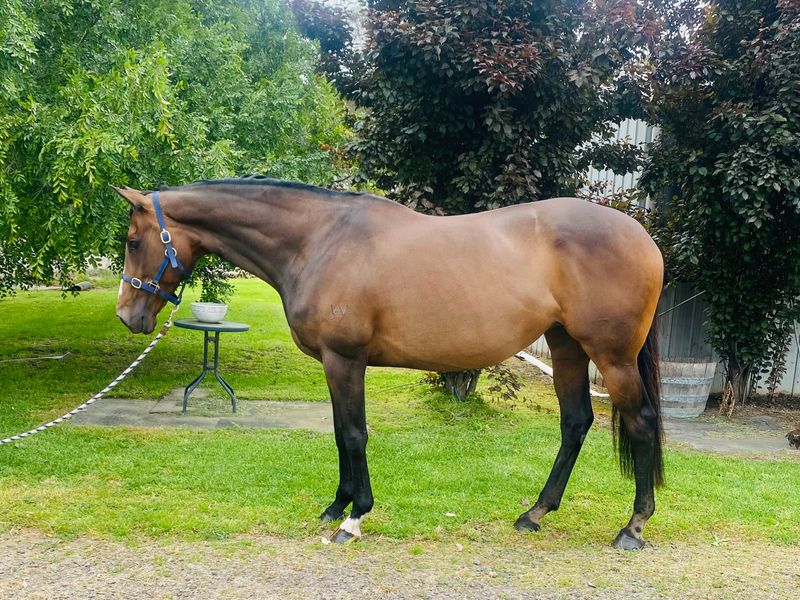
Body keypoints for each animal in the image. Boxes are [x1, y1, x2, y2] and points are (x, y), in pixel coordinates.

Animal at [114, 176, 664, 549]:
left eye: (134, 241)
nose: (128, 315)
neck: (319, 240)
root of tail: (643, 237)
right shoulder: (332, 363)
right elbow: (340, 432)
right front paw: (335, 505)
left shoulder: (345, 359)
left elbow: (355, 433)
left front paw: (354, 518)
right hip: (566, 346)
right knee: (575, 423)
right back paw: (534, 513)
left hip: (612, 356)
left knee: (639, 423)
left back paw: (632, 528)